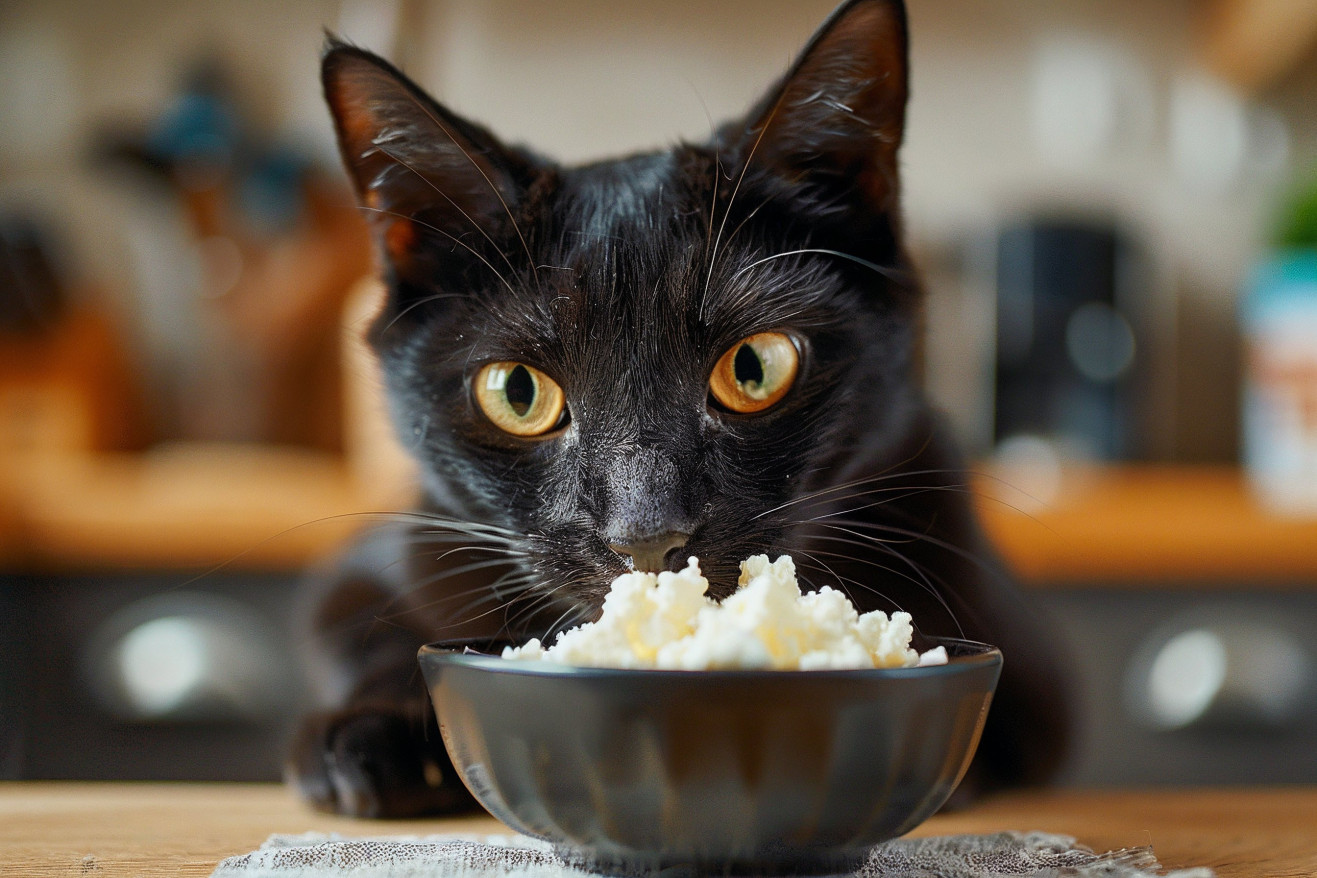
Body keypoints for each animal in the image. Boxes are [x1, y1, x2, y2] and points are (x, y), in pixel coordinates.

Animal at [288, 0, 1069, 821]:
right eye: (518, 393)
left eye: (754, 369)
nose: (646, 537)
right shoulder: (373, 566)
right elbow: (356, 631)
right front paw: (370, 734)